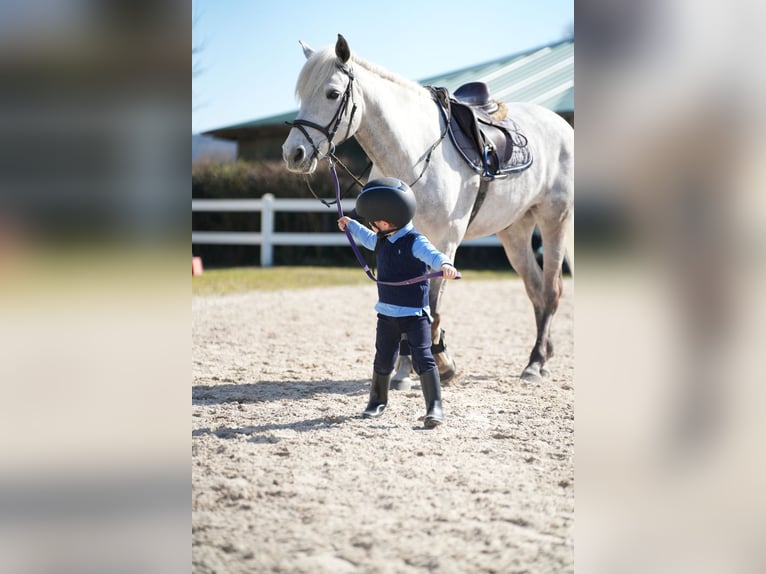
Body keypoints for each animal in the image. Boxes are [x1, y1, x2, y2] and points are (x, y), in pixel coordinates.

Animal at [282, 34, 574, 385]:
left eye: (332, 93)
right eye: (301, 95)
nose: (293, 154)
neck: (414, 153)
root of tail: (563, 127)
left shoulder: (444, 242)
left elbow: (429, 307)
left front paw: (436, 365)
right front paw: (407, 369)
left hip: (554, 220)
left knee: (552, 291)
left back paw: (535, 363)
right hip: (515, 231)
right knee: (535, 290)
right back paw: (543, 355)